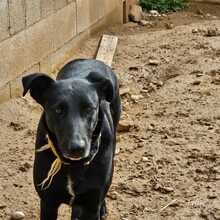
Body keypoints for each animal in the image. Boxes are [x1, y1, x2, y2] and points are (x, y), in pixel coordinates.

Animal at [21, 58, 121, 220]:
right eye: (58, 110)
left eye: (89, 109)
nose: (77, 148)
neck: (74, 165)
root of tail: (89, 59)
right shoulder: (48, 203)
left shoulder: (91, 205)